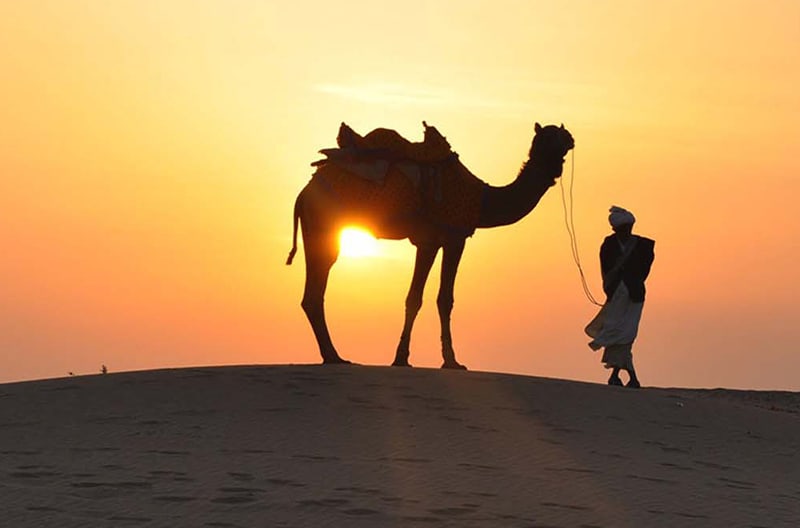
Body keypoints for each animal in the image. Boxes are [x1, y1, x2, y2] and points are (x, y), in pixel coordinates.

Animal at [286, 122, 575, 369]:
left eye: (561, 135)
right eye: (549, 137)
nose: (570, 139)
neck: (482, 199)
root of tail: (303, 194)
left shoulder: (431, 241)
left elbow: (420, 297)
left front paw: (406, 358)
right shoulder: (453, 237)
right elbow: (438, 298)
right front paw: (446, 361)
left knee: (312, 294)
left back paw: (333, 356)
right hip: (324, 228)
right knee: (315, 291)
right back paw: (334, 357)